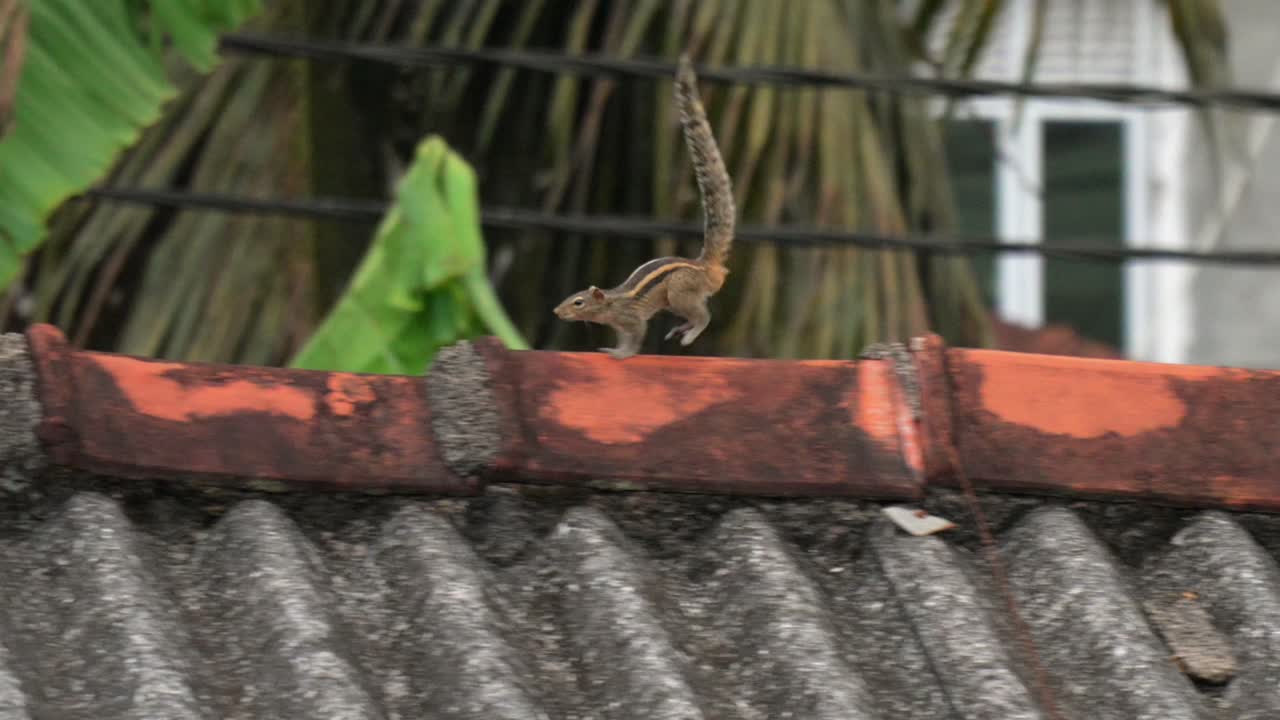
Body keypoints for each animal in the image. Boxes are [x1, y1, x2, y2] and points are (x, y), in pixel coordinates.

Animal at [553, 53, 735, 359]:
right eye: (569, 298)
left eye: (578, 302)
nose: (556, 312)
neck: (612, 302)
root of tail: (707, 267)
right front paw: (613, 348)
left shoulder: (632, 320)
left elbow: (635, 337)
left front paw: (620, 354)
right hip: (673, 302)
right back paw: (680, 329)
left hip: (679, 293)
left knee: (703, 316)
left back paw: (690, 334)